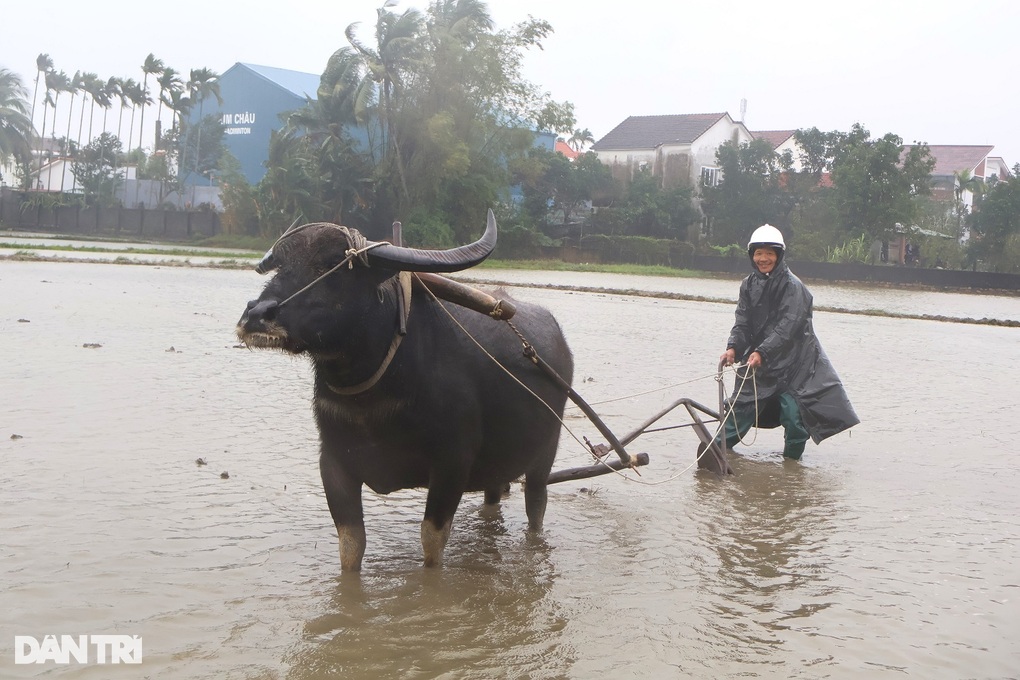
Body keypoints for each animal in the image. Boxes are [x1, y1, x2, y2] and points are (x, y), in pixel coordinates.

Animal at [237, 210, 575, 570]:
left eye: (332, 266)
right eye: (280, 265)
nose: (257, 315)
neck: (369, 401)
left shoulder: (452, 463)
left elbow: (432, 542)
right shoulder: (333, 463)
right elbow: (350, 545)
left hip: (543, 458)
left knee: (536, 504)